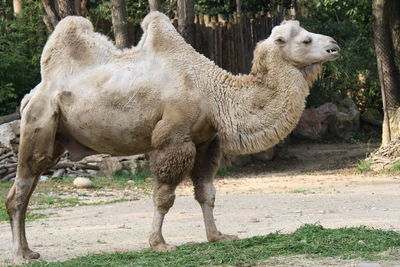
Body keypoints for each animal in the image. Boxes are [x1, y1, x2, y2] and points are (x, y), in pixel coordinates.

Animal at [4, 11, 340, 264]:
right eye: (306, 39)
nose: (334, 45)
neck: (213, 93)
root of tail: (32, 94)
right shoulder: (174, 138)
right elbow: (164, 195)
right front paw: (159, 243)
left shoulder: (207, 142)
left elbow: (207, 192)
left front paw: (217, 236)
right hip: (39, 122)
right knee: (19, 192)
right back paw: (20, 255)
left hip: (55, 138)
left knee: (30, 187)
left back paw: (30, 251)